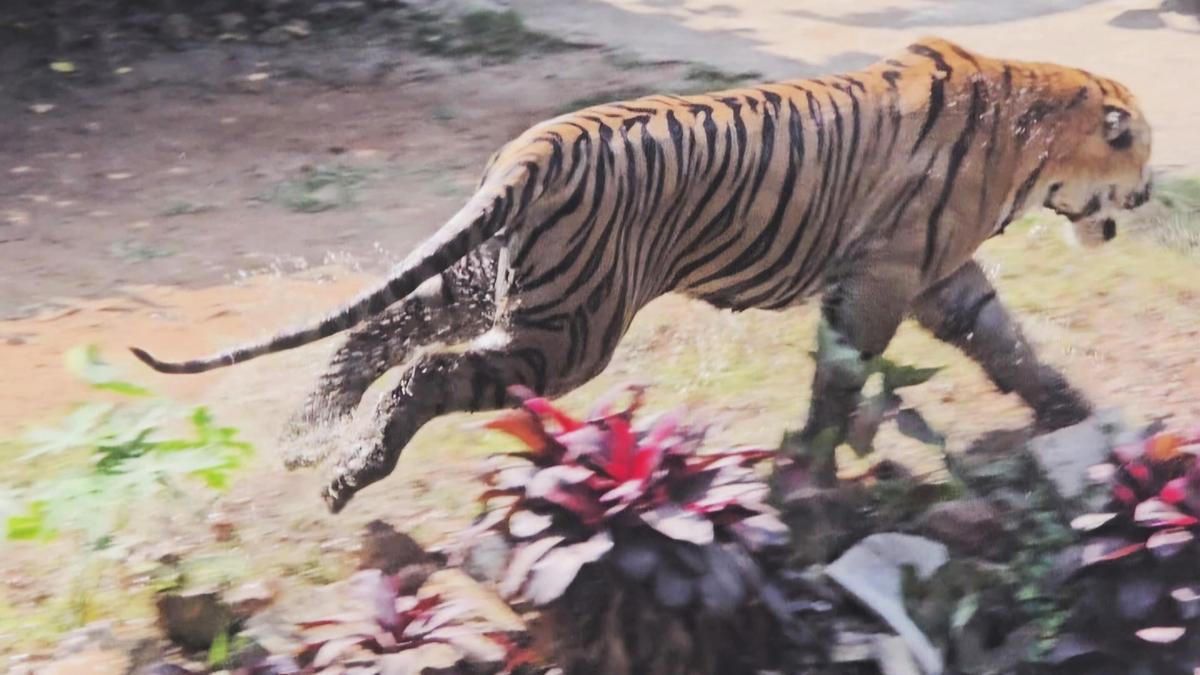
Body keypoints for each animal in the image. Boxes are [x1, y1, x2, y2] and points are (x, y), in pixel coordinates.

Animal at [131, 37, 1154, 513]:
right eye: (1139, 152)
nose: (1146, 196)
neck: (1034, 137)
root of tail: (530, 150)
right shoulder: (885, 276)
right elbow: (843, 377)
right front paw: (811, 468)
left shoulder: (940, 274)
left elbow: (1008, 343)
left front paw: (1074, 411)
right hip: (568, 331)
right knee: (428, 372)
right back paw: (350, 470)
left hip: (487, 281)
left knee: (374, 334)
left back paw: (309, 437)